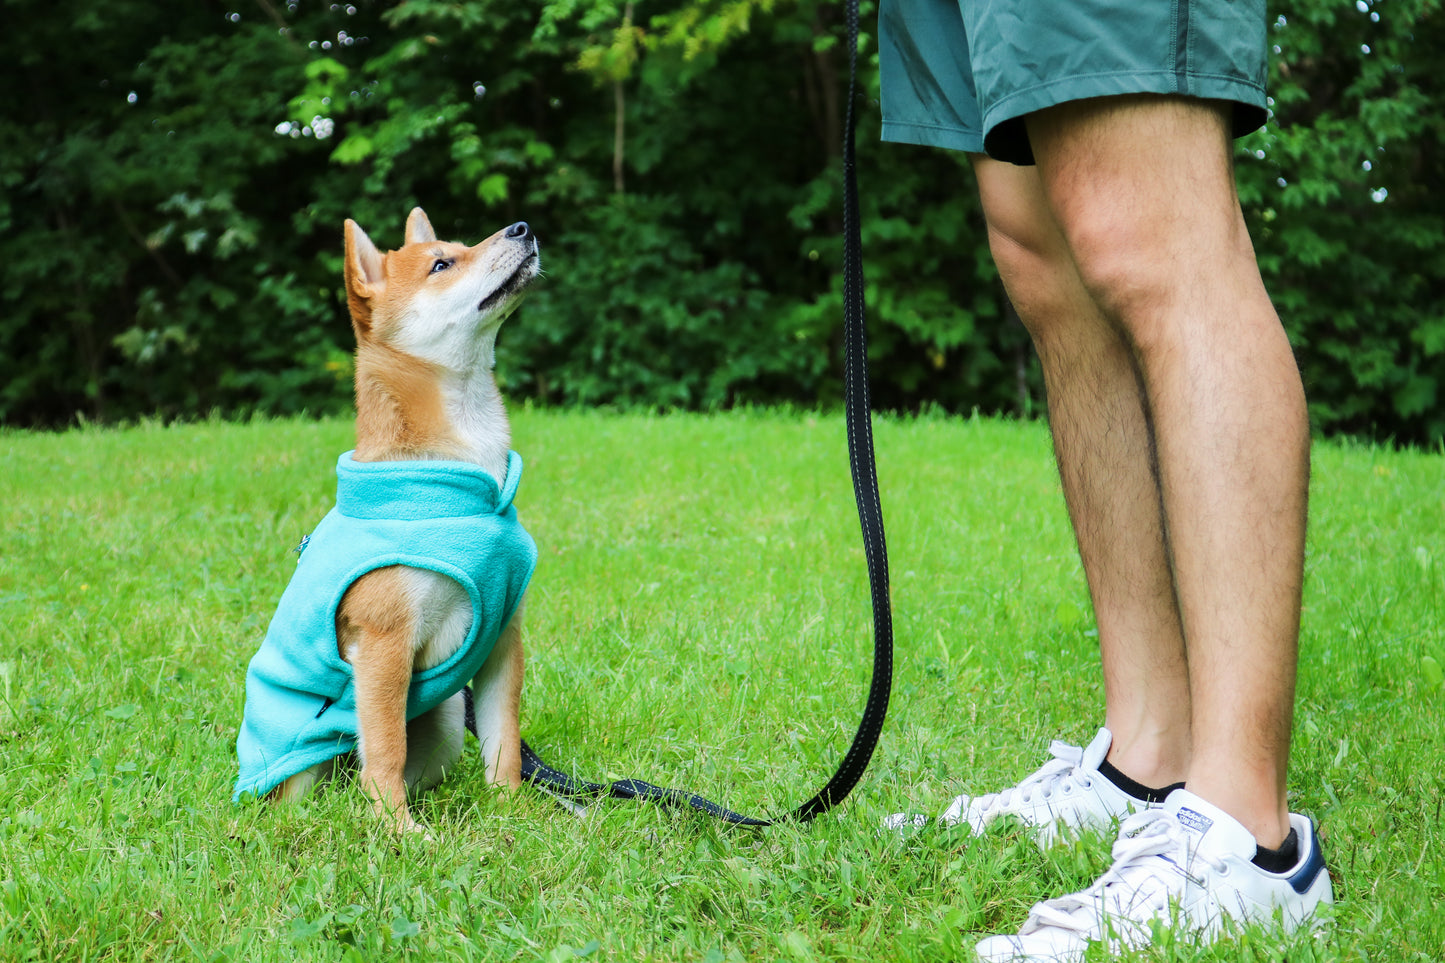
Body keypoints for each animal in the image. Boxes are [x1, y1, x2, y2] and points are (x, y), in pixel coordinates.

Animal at [236, 212, 543, 832]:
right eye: (442, 263)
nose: (521, 227)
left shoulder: (502, 641)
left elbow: (503, 738)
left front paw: (510, 814)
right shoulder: (384, 648)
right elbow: (384, 750)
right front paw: (400, 832)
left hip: (445, 721)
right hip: (299, 757)